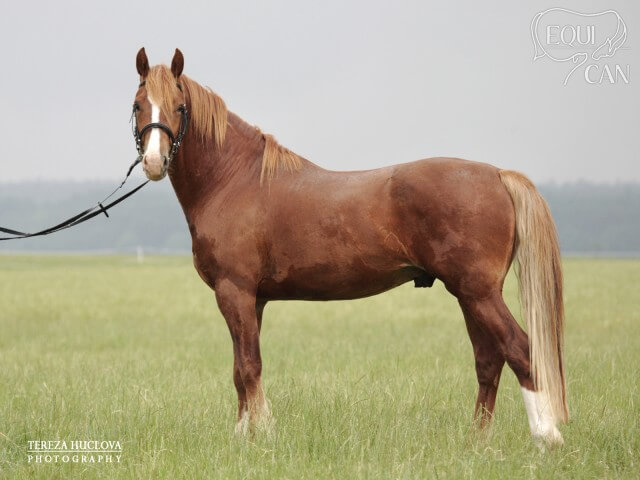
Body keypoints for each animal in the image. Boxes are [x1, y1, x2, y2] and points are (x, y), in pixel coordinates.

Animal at [132, 47, 568, 446]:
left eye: (180, 106)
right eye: (138, 105)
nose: (154, 162)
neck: (235, 179)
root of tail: (497, 175)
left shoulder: (234, 291)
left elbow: (249, 366)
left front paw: (261, 434)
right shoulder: (253, 299)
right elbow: (241, 367)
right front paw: (244, 434)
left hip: (478, 293)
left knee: (520, 349)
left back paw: (546, 437)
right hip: (470, 295)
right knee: (489, 360)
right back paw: (477, 440)